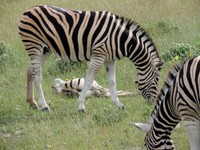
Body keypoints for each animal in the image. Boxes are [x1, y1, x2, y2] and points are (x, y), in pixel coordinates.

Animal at [18, 4, 162, 111]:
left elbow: (112, 81)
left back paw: (32, 103)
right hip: (34, 46)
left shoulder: (110, 59)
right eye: (156, 81)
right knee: (37, 76)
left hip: (45, 50)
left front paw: (118, 104)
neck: (121, 39)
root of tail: (29, 9)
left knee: (30, 71)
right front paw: (81, 106)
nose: (153, 102)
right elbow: (88, 79)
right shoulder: (98, 55)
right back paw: (44, 106)